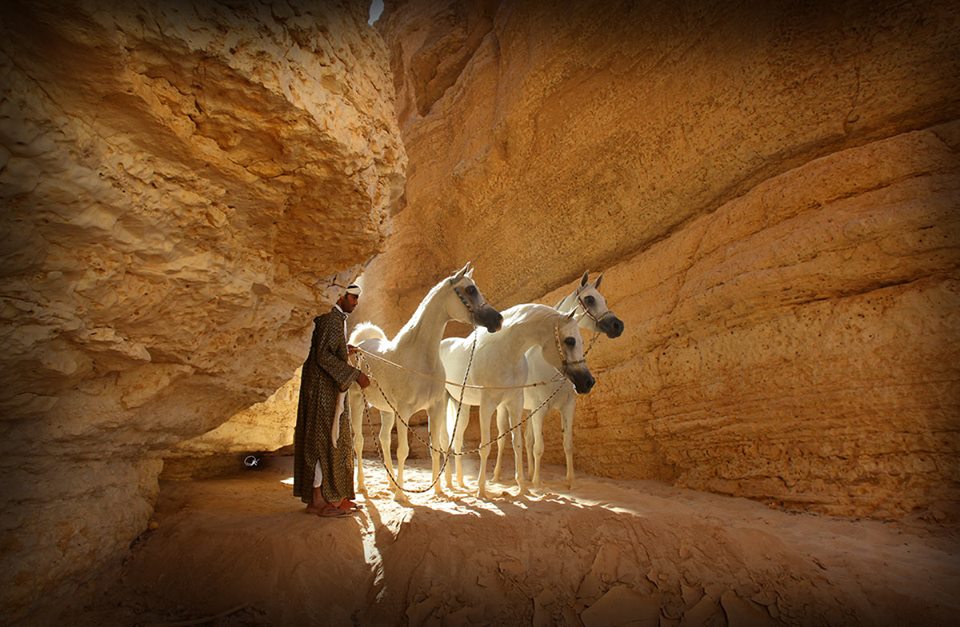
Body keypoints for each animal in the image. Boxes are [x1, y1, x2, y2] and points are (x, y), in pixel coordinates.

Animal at [347, 262, 503, 497]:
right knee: (359, 441)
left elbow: (435, 448)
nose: (498, 320)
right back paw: (363, 486)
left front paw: (438, 490)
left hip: (386, 410)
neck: (420, 359)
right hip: (356, 402)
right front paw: (402, 495)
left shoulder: (435, 408)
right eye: (470, 290)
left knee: (383, 440)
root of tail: (360, 346)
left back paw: (391, 483)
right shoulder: (403, 412)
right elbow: (403, 451)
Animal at [439, 303, 595, 498]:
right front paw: (482, 490)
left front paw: (522, 487)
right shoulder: (487, 406)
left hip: (463, 405)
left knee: (457, 440)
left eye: (580, 341)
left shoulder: (515, 403)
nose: (588, 382)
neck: (505, 353)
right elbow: (485, 447)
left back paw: (459, 482)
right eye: (570, 340)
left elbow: (519, 444)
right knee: (443, 440)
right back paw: (448, 483)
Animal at [493, 271, 624, 488]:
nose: (618, 325)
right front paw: (537, 483)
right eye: (590, 299)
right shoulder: (540, 410)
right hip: (505, 409)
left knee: (526, 439)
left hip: (527, 411)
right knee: (502, 439)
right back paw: (497, 476)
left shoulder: (567, 407)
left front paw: (570, 481)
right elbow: (539, 447)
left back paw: (528, 475)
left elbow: (567, 444)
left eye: (604, 299)